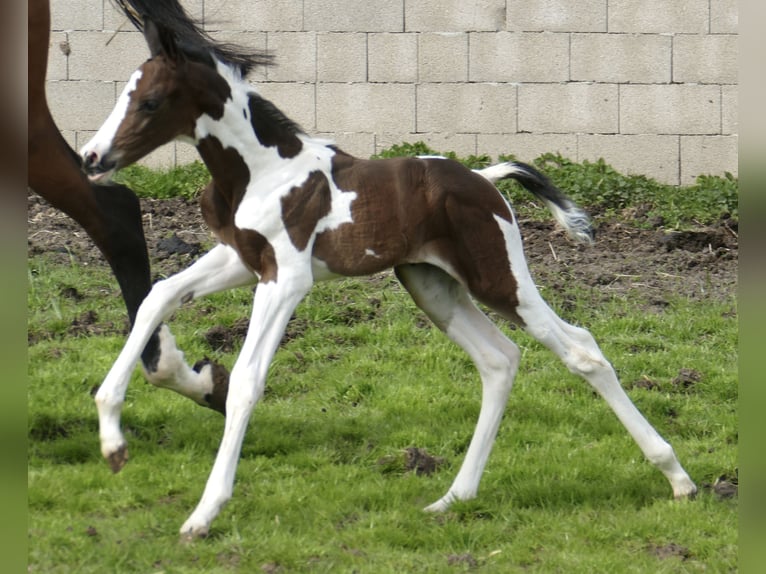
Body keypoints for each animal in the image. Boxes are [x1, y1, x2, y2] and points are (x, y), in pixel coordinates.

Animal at [79, 17, 697, 539]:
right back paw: (453, 498)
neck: (261, 170)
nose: (91, 157)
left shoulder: (286, 279)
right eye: (123, 93)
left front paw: (204, 513)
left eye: (150, 100)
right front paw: (111, 439)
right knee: (499, 359)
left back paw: (678, 479)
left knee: (581, 349)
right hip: (432, 286)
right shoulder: (241, 259)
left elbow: (249, 381)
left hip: (498, 278)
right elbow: (159, 295)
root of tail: (485, 178)